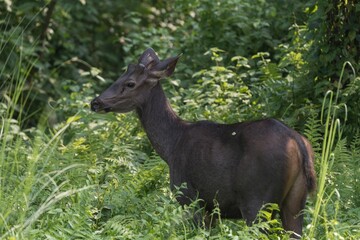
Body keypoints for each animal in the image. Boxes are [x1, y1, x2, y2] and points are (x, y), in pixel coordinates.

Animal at [90, 47, 316, 237]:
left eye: (130, 83)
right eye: (120, 76)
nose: (96, 102)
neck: (171, 147)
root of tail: (298, 143)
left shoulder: (191, 198)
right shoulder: (211, 208)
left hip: (257, 199)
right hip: (296, 199)